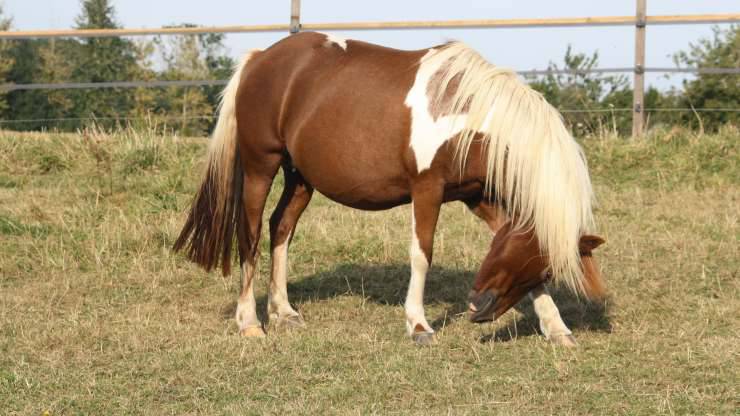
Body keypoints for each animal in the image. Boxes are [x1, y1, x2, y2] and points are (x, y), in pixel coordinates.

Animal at [174, 32, 606, 346]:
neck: (466, 114)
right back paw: (249, 321)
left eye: (546, 267)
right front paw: (418, 325)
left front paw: (557, 328)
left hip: (300, 179)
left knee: (280, 228)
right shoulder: (427, 189)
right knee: (249, 236)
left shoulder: (476, 195)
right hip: (261, 167)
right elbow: (421, 254)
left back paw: (283, 311)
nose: (477, 307)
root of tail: (260, 58)